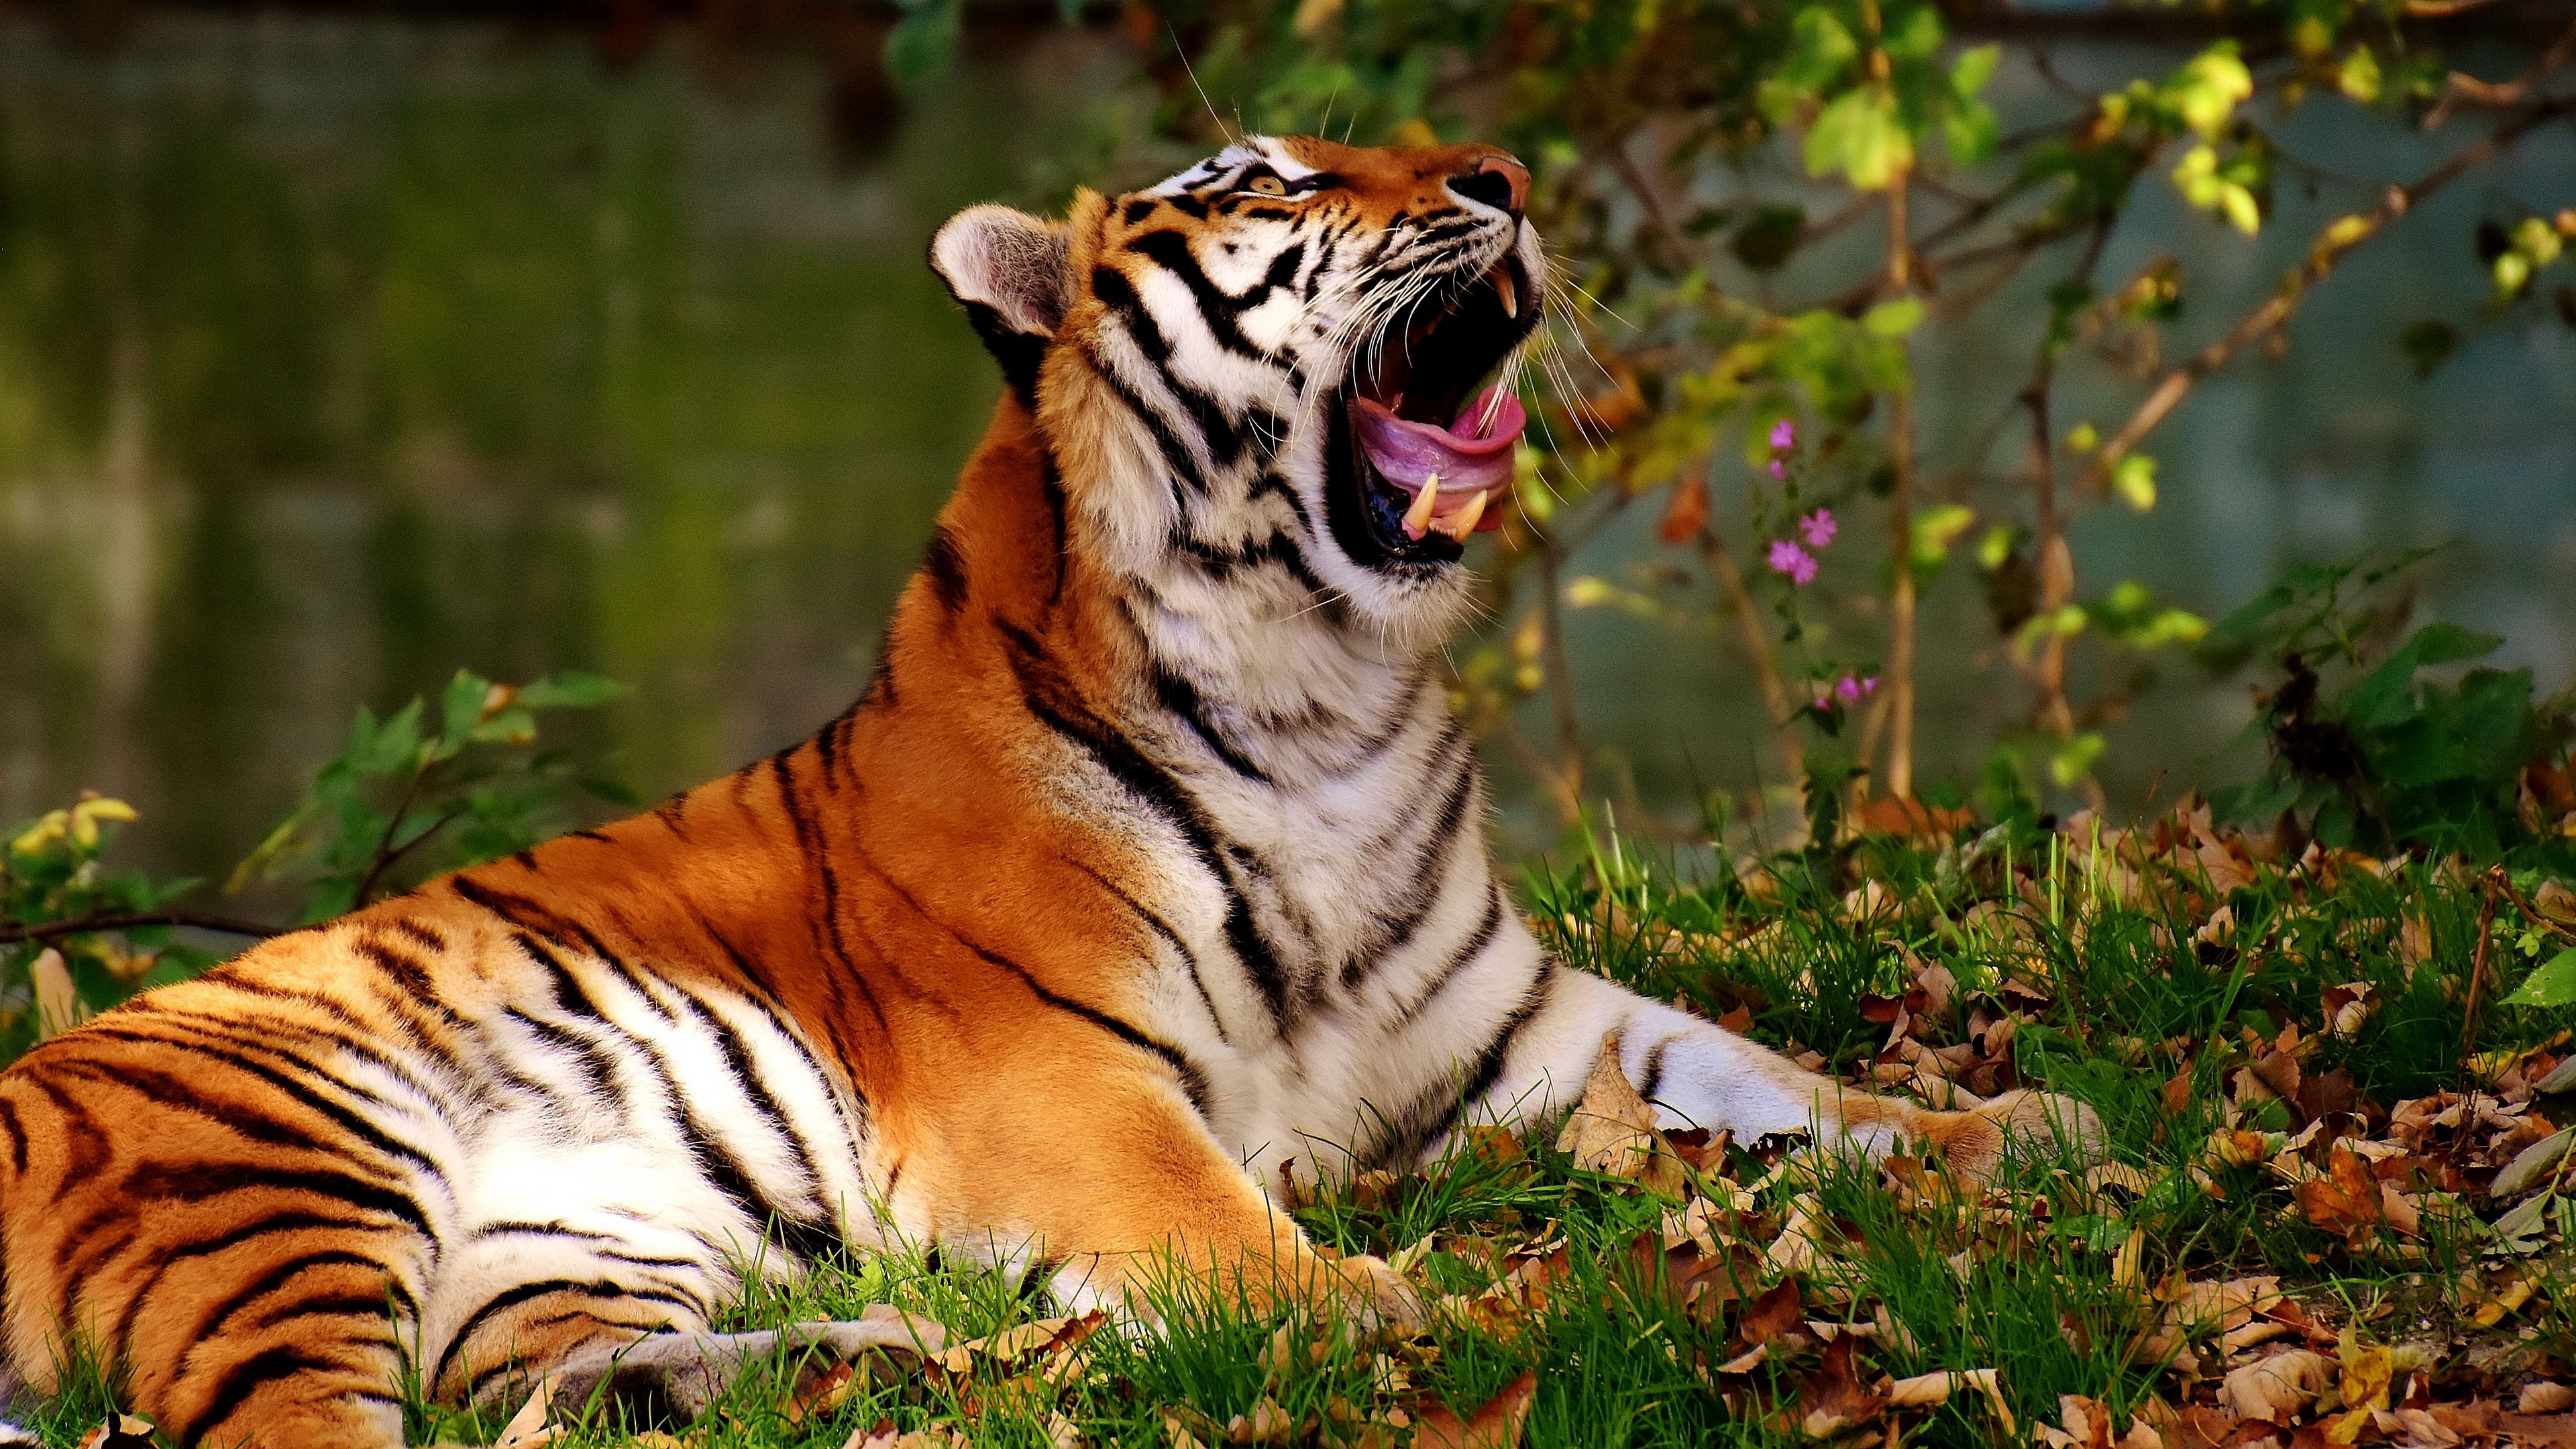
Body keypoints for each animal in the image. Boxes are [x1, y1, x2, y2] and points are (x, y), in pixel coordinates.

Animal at [0, 135, 2097, 1448]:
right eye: (1269, 181)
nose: (1503, 181)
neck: (1330, 700)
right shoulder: (1060, 1080)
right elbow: (1235, 1233)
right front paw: (1413, 1314)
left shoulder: (1522, 1025)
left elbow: (1770, 1076)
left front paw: (2016, 1126)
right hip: (280, 1181)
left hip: (566, 1245)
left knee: (530, 1392)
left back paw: (901, 1354)